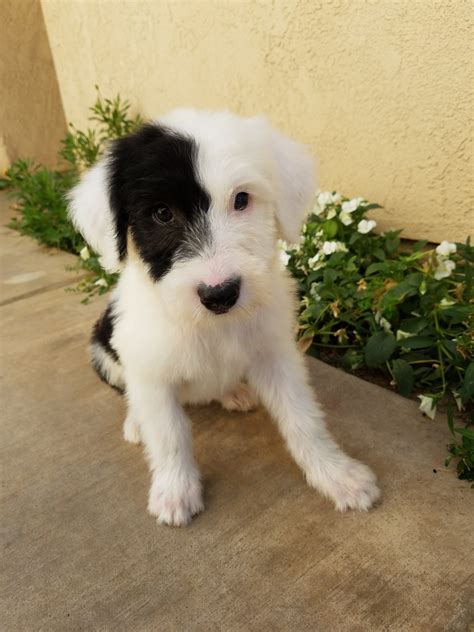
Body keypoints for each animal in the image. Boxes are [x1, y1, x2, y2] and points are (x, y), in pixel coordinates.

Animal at [69, 110, 382, 528]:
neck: (212, 326)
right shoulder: (151, 371)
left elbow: (303, 418)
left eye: (242, 199)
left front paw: (337, 475)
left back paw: (234, 391)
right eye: (162, 213)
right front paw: (175, 491)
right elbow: (168, 435)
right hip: (104, 351)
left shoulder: (276, 354)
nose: (220, 294)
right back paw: (137, 422)